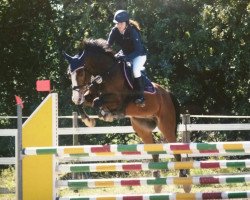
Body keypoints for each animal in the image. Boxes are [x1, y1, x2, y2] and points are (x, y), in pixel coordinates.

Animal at [64, 38, 189, 193]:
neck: (106, 73)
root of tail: (167, 93)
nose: (75, 97)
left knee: (176, 149)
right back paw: (157, 183)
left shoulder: (117, 99)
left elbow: (97, 101)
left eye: (81, 73)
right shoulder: (90, 96)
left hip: (166, 125)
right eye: (69, 74)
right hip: (141, 128)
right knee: (154, 150)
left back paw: (183, 180)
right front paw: (89, 120)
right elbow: (85, 103)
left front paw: (106, 114)